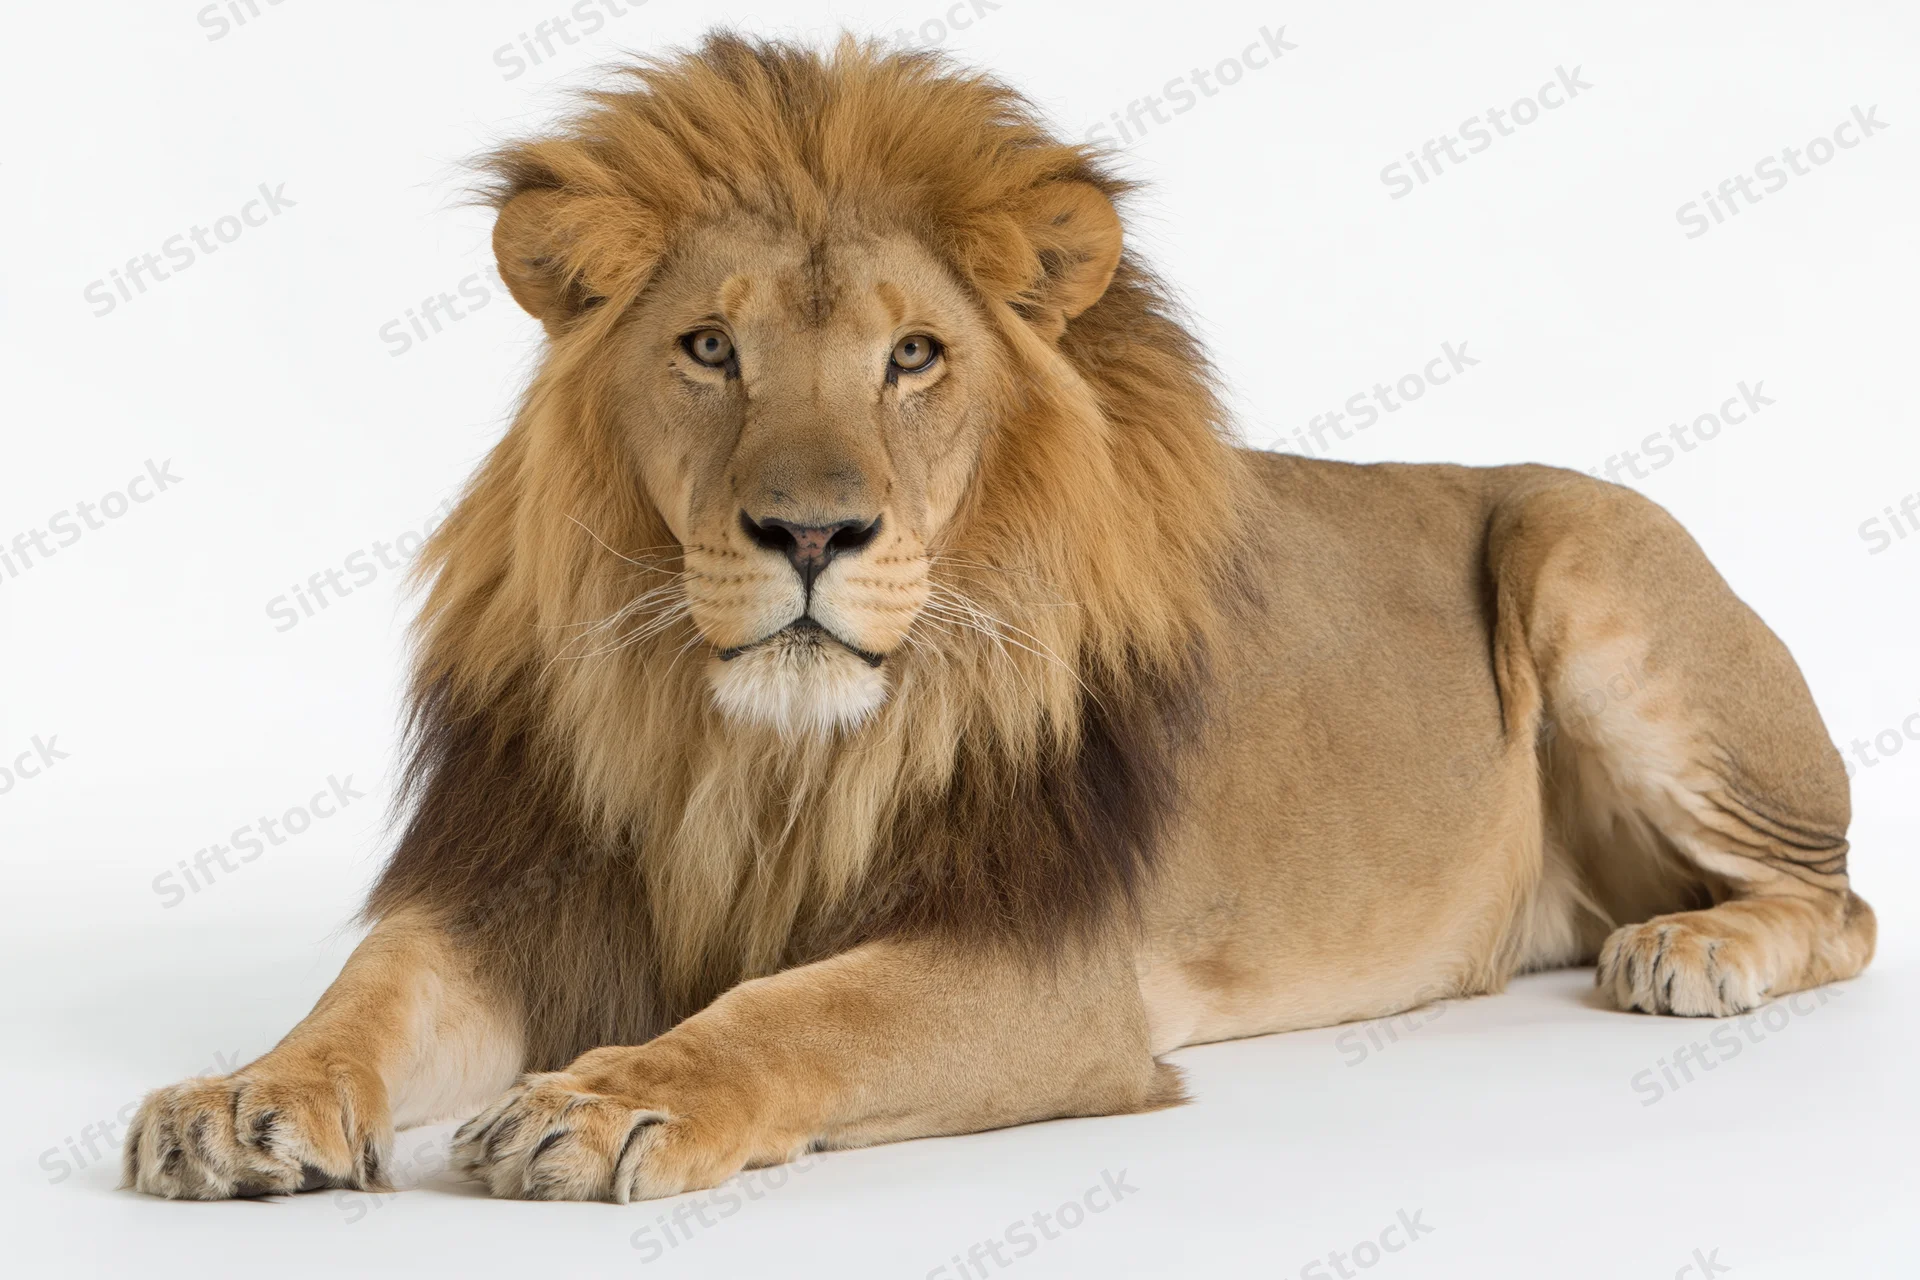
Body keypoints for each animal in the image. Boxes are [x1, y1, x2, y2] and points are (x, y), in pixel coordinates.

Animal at [125, 34, 1874, 1202]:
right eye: (709, 348)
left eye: (914, 356)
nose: (812, 532)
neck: (757, 750)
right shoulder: (530, 893)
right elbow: (367, 994)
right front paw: (239, 1097)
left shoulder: (1047, 962)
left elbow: (803, 1008)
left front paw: (616, 1099)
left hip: (1585, 548)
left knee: (1839, 904)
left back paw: (1688, 952)